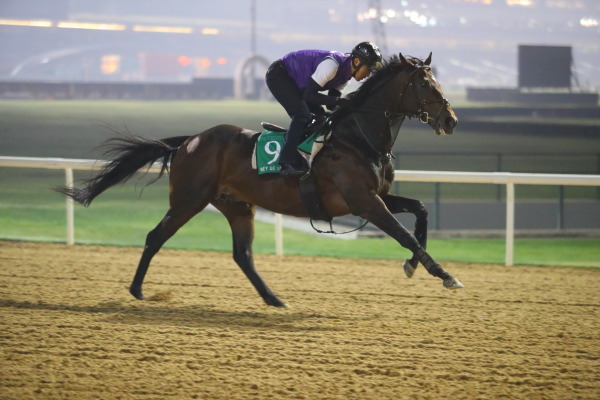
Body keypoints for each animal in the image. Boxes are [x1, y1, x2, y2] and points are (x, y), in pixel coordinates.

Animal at [58, 54, 464, 310]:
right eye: (425, 84)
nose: (451, 120)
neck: (358, 138)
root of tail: (190, 140)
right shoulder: (362, 201)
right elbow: (405, 234)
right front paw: (444, 274)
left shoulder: (377, 196)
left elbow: (421, 211)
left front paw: (413, 265)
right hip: (189, 200)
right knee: (155, 237)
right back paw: (138, 290)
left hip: (237, 206)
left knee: (243, 254)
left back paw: (274, 298)